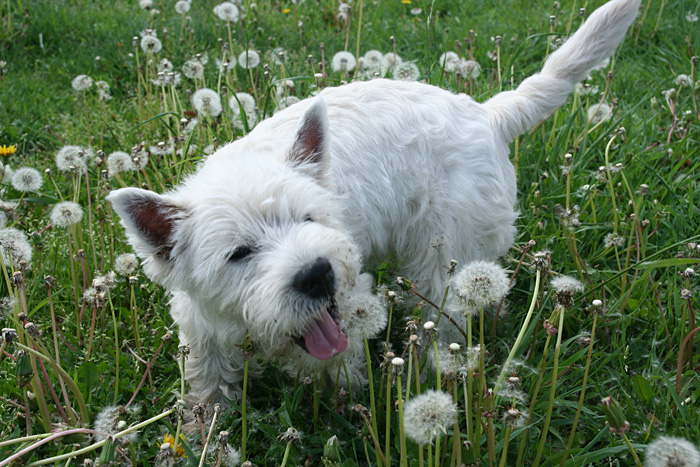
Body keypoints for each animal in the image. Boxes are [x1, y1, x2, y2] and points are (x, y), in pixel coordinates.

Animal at [108, 0, 640, 406]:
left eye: (310, 218)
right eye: (238, 253)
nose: (316, 275)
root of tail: (488, 114)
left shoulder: (350, 293)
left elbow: (342, 371)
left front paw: (349, 406)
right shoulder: (202, 331)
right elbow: (208, 389)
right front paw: (205, 430)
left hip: (439, 256)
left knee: (443, 317)